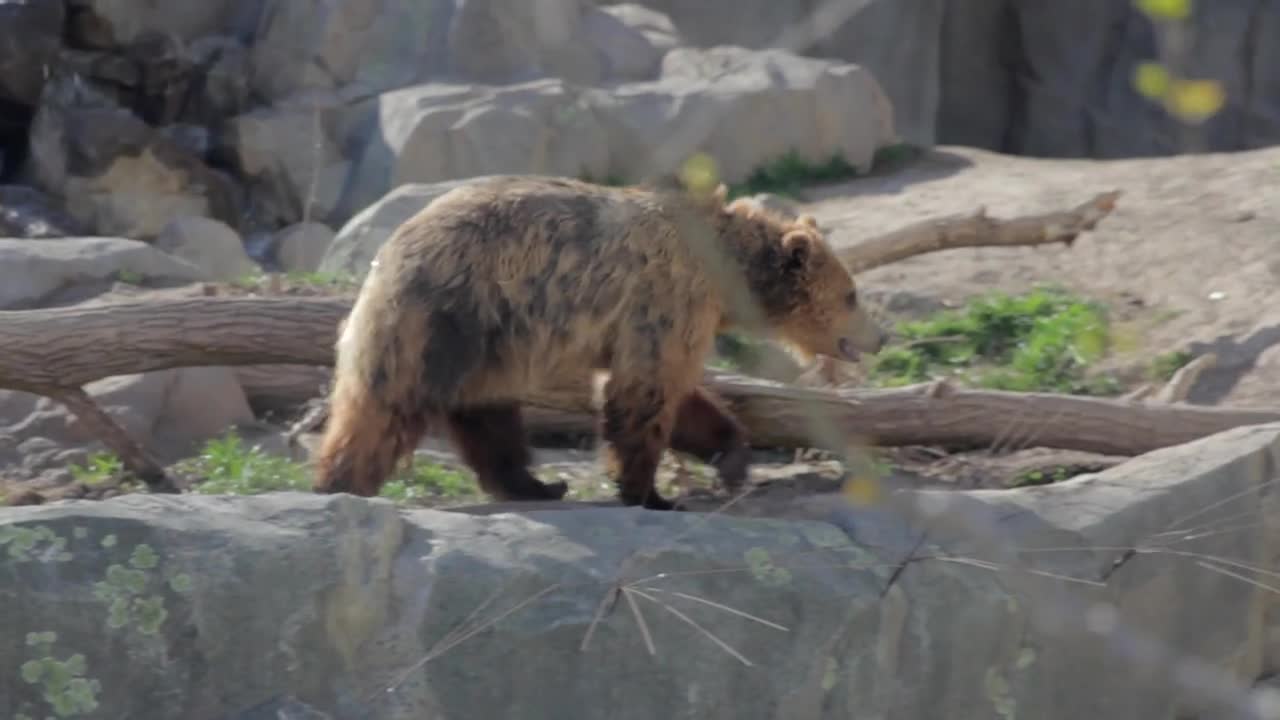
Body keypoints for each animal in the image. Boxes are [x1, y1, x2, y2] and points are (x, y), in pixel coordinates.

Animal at [312, 174, 890, 509]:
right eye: (852, 294)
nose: (882, 335)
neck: (730, 275)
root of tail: (385, 253)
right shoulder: (667, 299)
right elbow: (646, 391)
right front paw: (650, 493)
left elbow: (677, 395)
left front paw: (730, 458)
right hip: (450, 311)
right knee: (390, 403)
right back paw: (340, 483)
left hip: (489, 340)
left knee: (486, 413)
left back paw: (537, 485)